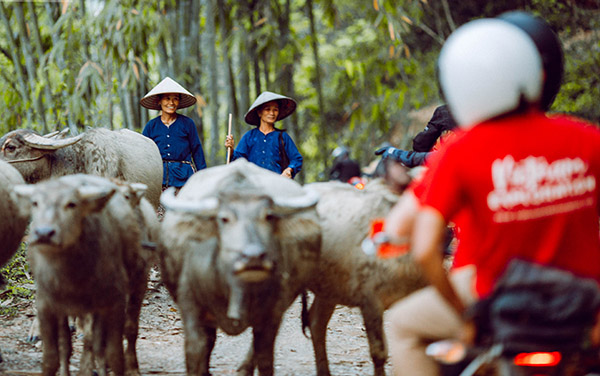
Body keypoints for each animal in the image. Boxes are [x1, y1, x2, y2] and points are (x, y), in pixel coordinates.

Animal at [157, 159, 322, 376]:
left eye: (269, 216)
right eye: (224, 218)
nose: (253, 257)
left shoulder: (273, 312)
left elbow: (265, 357)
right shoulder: (191, 306)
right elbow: (197, 350)